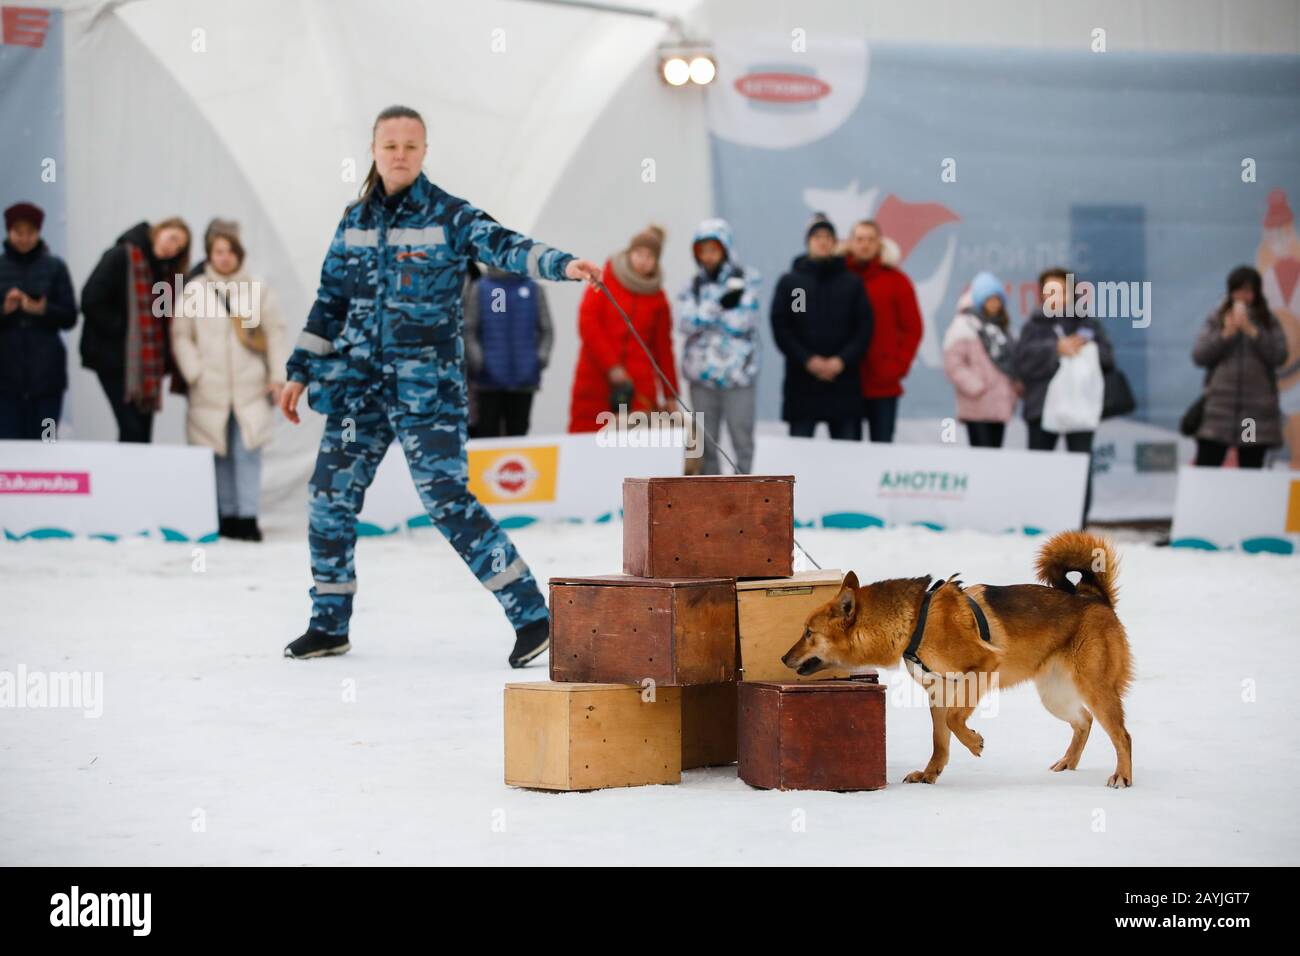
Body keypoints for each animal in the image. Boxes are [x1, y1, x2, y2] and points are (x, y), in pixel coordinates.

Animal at [774, 530, 1133, 785]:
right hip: (1055, 696)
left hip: (1094, 688)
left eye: (808, 632)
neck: (915, 623)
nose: (783, 658)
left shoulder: (982, 669)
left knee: (1121, 735)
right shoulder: (938, 691)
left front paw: (974, 743)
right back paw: (1068, 762)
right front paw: (929, 774)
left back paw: (1122, 776)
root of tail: (1094, 598)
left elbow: (954, 721)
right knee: (1084, 722)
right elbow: (940, 737)